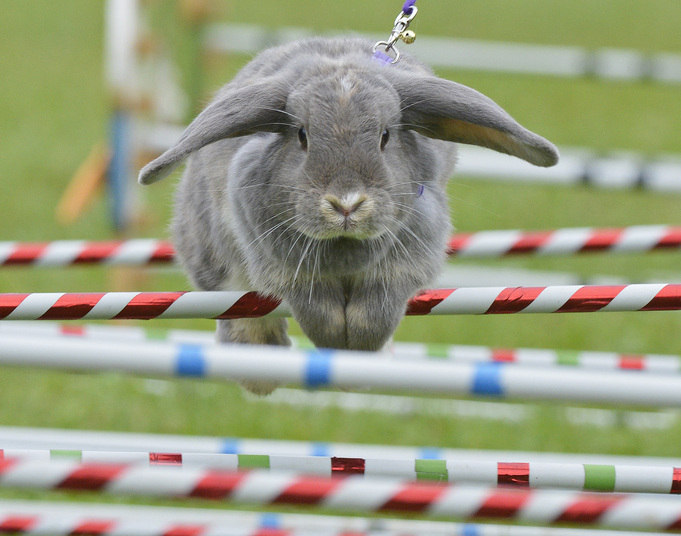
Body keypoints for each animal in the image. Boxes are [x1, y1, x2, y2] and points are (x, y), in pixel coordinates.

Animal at [139, 37, 556, 390]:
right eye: (302, 136)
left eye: (385, 136)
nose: (346, 203)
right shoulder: (283, 265)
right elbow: (314, 308)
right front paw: (334, 345)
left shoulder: (408, 259)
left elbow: (377, 312)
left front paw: (357, 354)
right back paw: (260, 373)